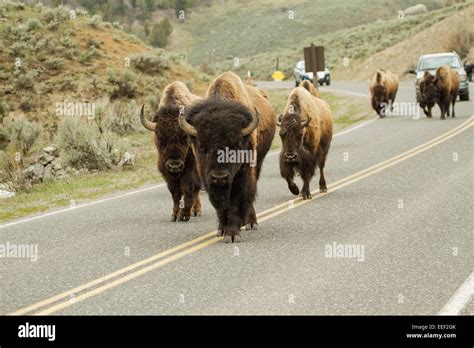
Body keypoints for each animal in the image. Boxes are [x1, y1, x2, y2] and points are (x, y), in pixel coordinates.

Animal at [139, 81, 202, 222]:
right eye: (160, 139)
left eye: (185, 138)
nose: (175, 165)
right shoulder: (166, 170)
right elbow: (175, 192)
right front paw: (175, 215)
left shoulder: (191, 167)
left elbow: (188, 187)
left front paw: (184, 214)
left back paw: (197, 211)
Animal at [179, 72, 276, 243]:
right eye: (202, 146)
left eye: (235, 145)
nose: (220, 177)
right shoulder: (206, 177)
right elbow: (220, 205)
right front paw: (221, 230)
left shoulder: (240, 175)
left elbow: (235, 201)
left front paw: (232, 234)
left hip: (257, 164)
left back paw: (250, 222)